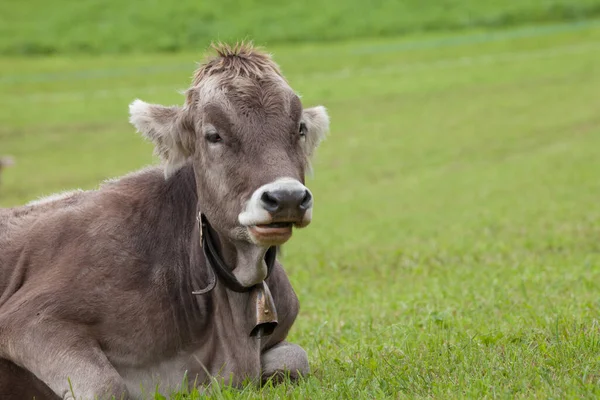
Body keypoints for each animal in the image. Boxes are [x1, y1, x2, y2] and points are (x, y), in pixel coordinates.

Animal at [0, 43, 328, 400]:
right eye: (213, 135)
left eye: (299, 129)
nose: (286, 197)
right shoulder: (29, 318)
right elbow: (106, 385)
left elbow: (295, 358)